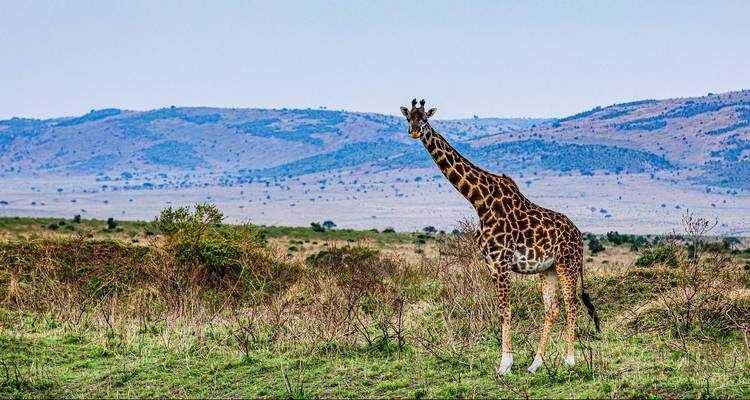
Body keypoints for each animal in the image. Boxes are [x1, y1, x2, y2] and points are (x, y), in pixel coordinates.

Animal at [400, 99, 600, 376]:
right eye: (409, 118)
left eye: (426, 119)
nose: (415, 131)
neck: (479, 200)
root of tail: (579, 236)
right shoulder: (491, 263)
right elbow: (501, 310)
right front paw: (509, 362)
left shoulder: (502, 261)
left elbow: (506, 310)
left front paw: (505, 365)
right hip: (547, 269)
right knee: (552, 309)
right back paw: (535, 364)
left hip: (566, 264)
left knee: (571, 304)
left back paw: (570, 361)